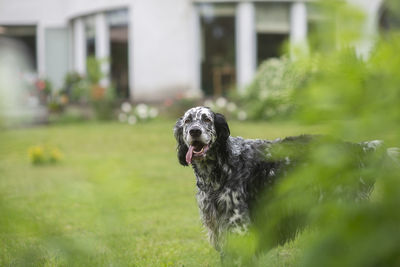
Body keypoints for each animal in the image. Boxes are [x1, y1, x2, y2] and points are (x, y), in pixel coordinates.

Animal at [173, 106, 396, 255]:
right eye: (188, 121)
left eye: (207, 120)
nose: (194, 131)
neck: (220, 170)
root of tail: (355, 147)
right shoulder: (219, 228)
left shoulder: (240, 226)